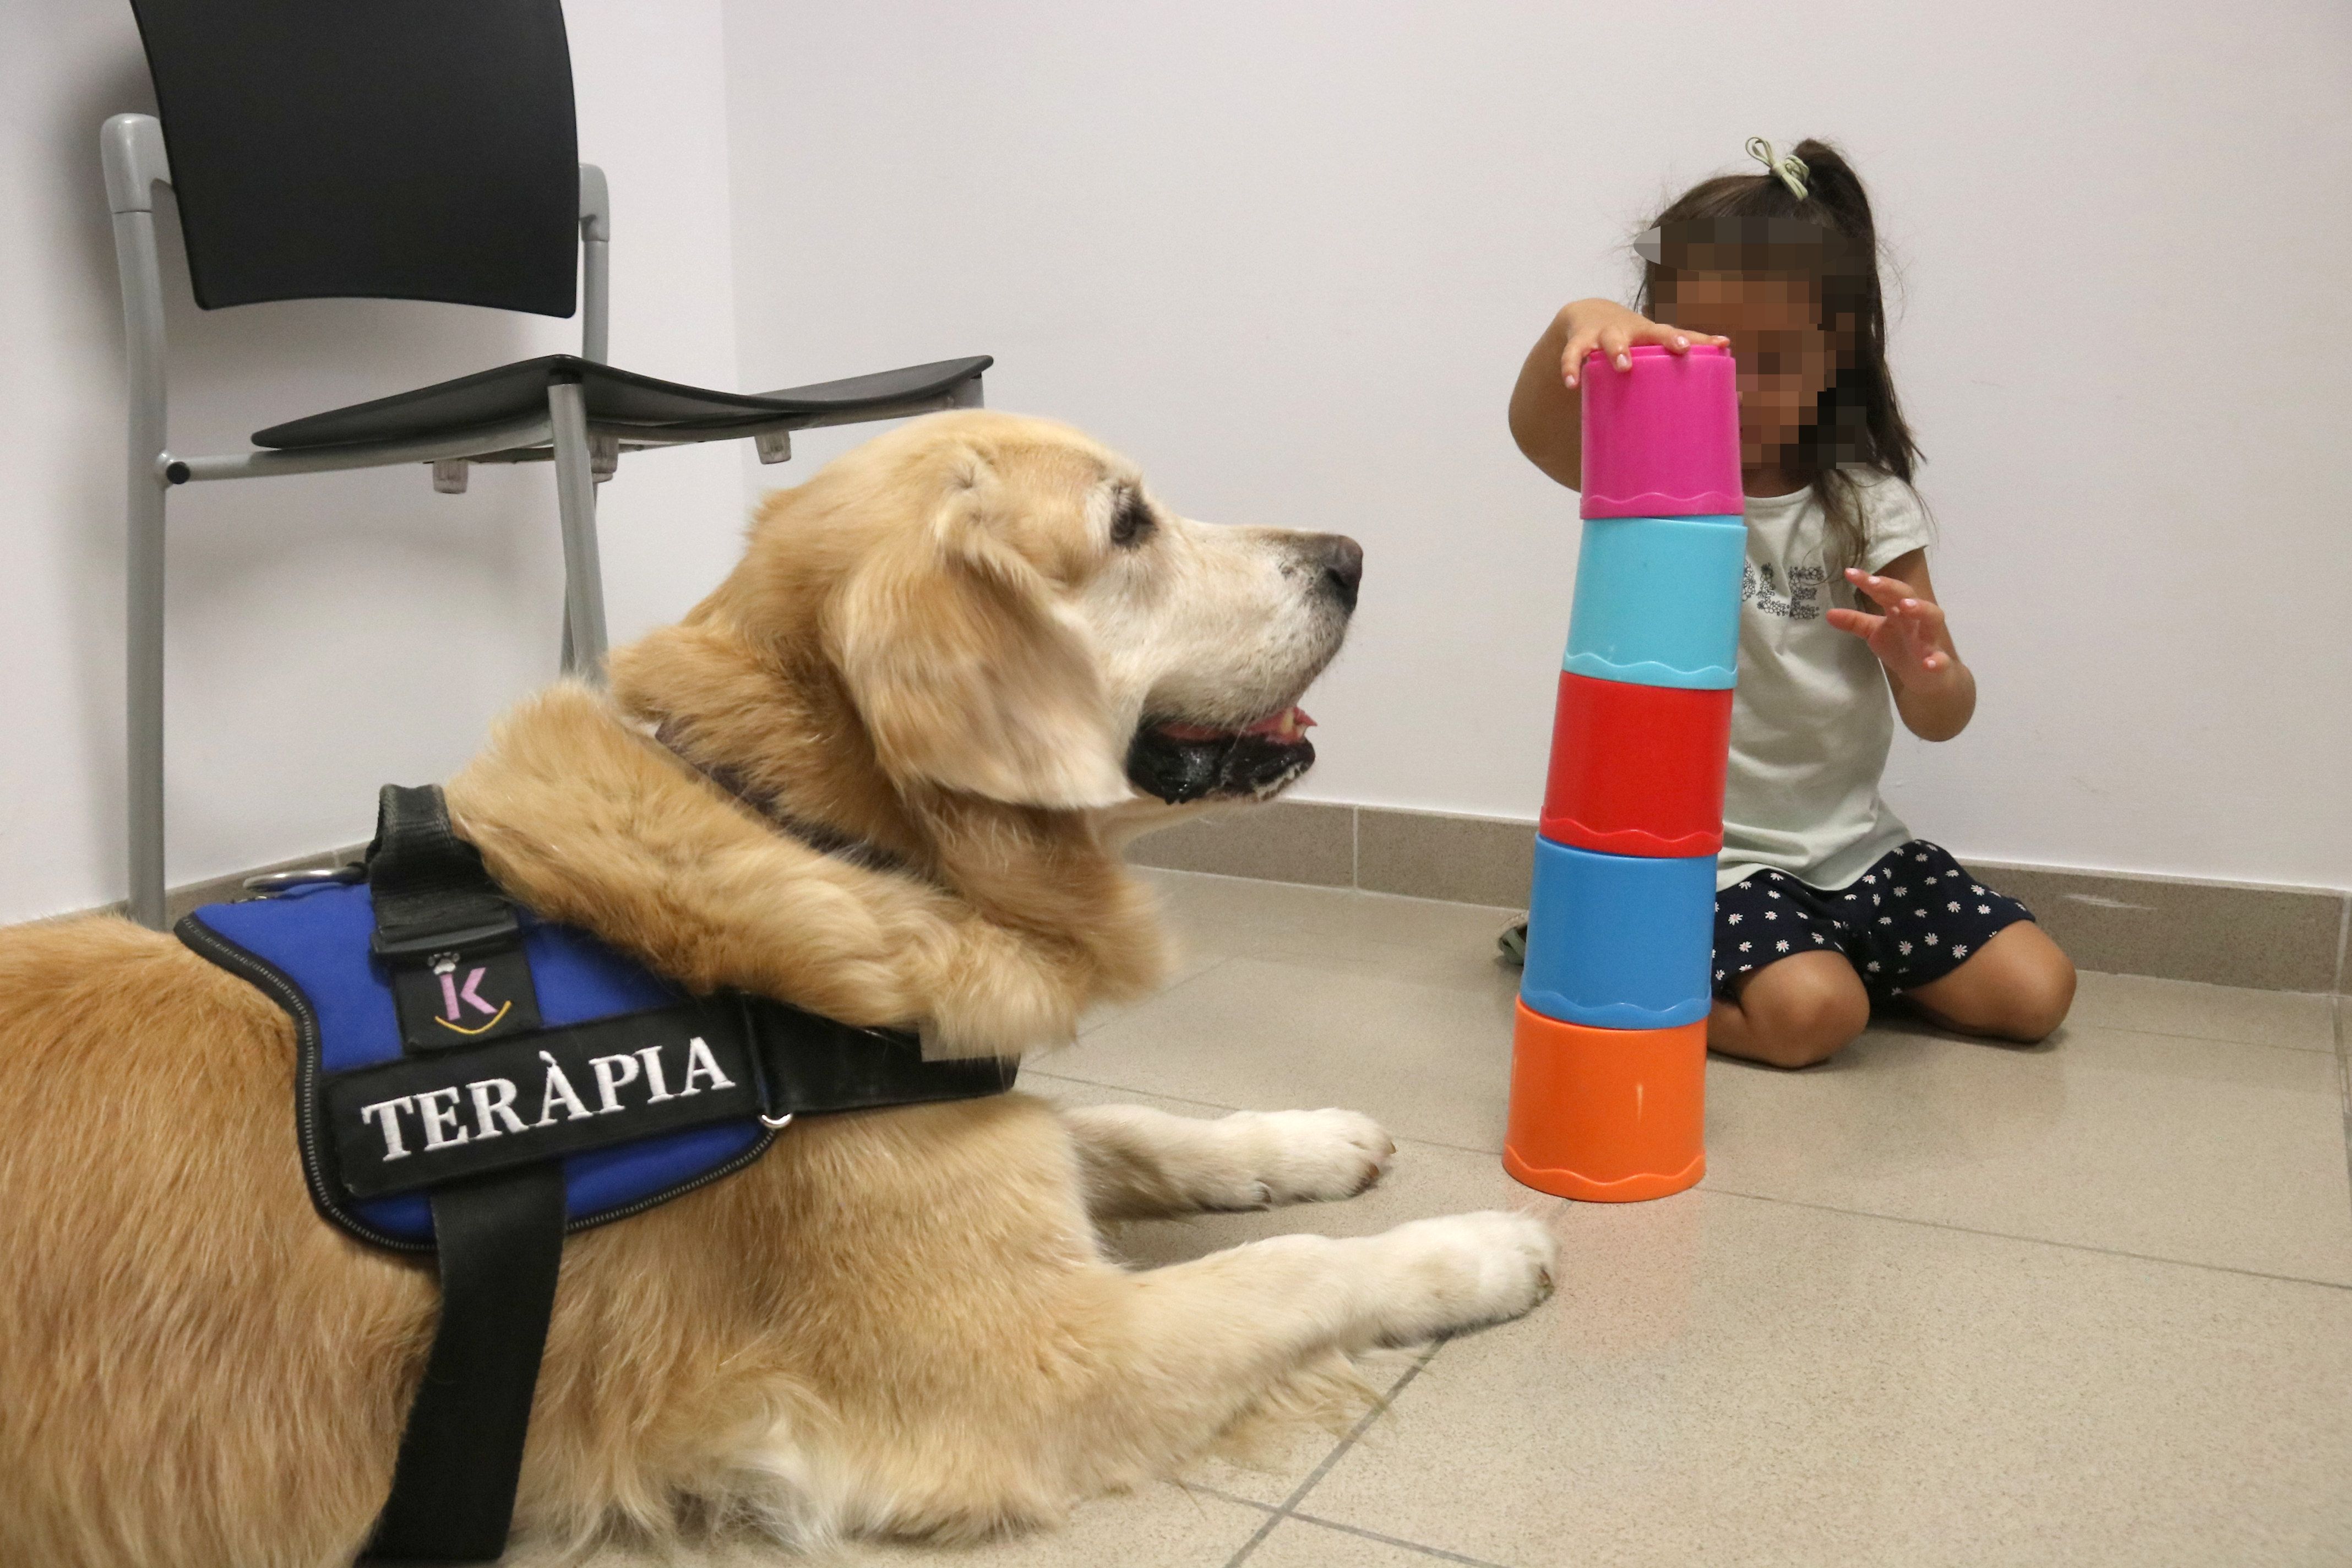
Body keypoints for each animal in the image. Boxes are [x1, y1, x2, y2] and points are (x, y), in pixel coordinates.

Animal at [0, 411, 1552, 1561]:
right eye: (1127, 525)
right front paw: (1478, 1245)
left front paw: (1308, 1137)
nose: (1350, 555)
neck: (811, 829)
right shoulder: (1035, 1360)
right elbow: (1291, 1270)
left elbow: (1124, 1126)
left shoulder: (960, 1111)